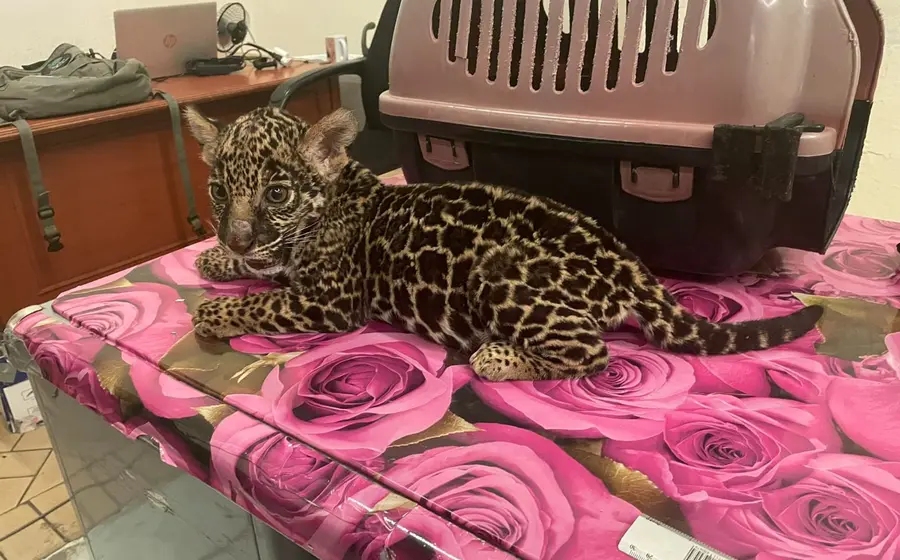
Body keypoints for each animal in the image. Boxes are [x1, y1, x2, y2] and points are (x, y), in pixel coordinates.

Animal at [183, 105, 824, 382]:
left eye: (276, 193)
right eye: (218, 190)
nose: (235, 235)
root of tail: (634, 268)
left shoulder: (329, 302)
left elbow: (263, 301)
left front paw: (212, 311)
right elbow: (263, 273)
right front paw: (218, 257)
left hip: (500, 273)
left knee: (592, 353)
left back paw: (497, 357)